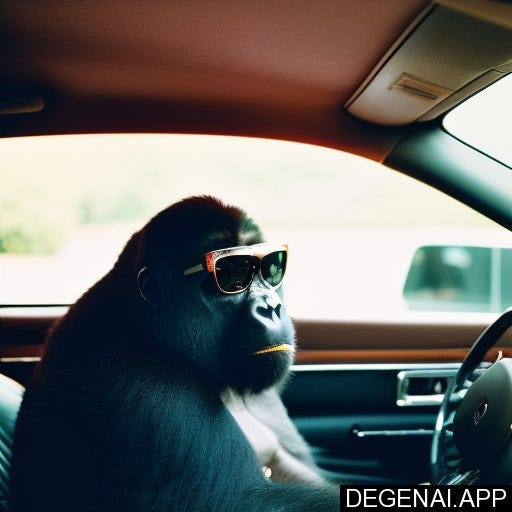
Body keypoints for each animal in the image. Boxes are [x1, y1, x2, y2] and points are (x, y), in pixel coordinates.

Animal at [10, 196, 338, 512]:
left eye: (272, 268)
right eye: (232, 274)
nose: (271, 306)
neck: (145, 325)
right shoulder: (153, 393)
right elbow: (242, 500)